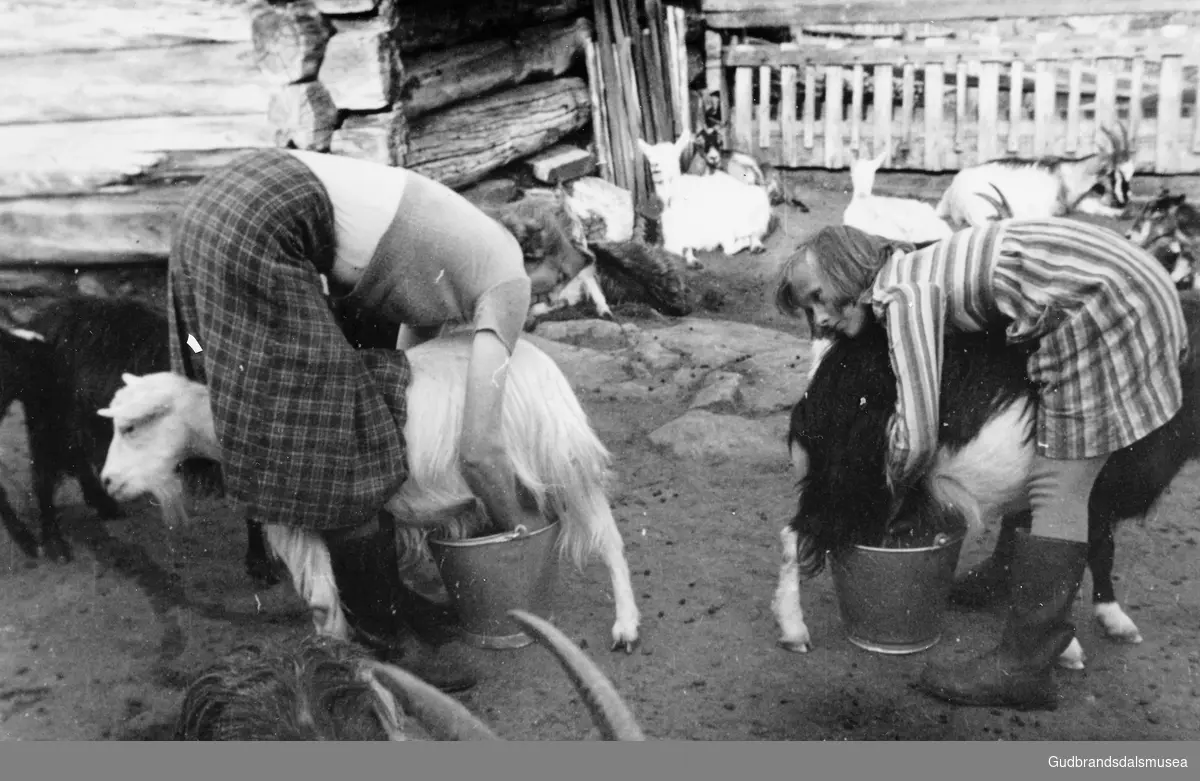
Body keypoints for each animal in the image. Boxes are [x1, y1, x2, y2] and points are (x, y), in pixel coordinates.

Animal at [98, 333, 643, 652]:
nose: (106, 482)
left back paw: (626, 626)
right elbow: (338, 590)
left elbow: (322, 598)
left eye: (130, 427)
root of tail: (535, 357)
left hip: (558, 457)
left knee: (608, 537)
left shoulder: (308, 515)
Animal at [633, 131, 772, 268]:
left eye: (674, 156)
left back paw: (755, 245)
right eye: (649, 157)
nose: (656, 168)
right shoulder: (676, 238)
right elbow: (685, 248)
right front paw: (692, 261)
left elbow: (729, 247)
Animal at [936, 122, 1132, 225]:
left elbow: (1092, 206)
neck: (1064, 176)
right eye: (1115, 174)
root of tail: (952, 191)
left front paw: (1118, 213)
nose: (1125, 200)